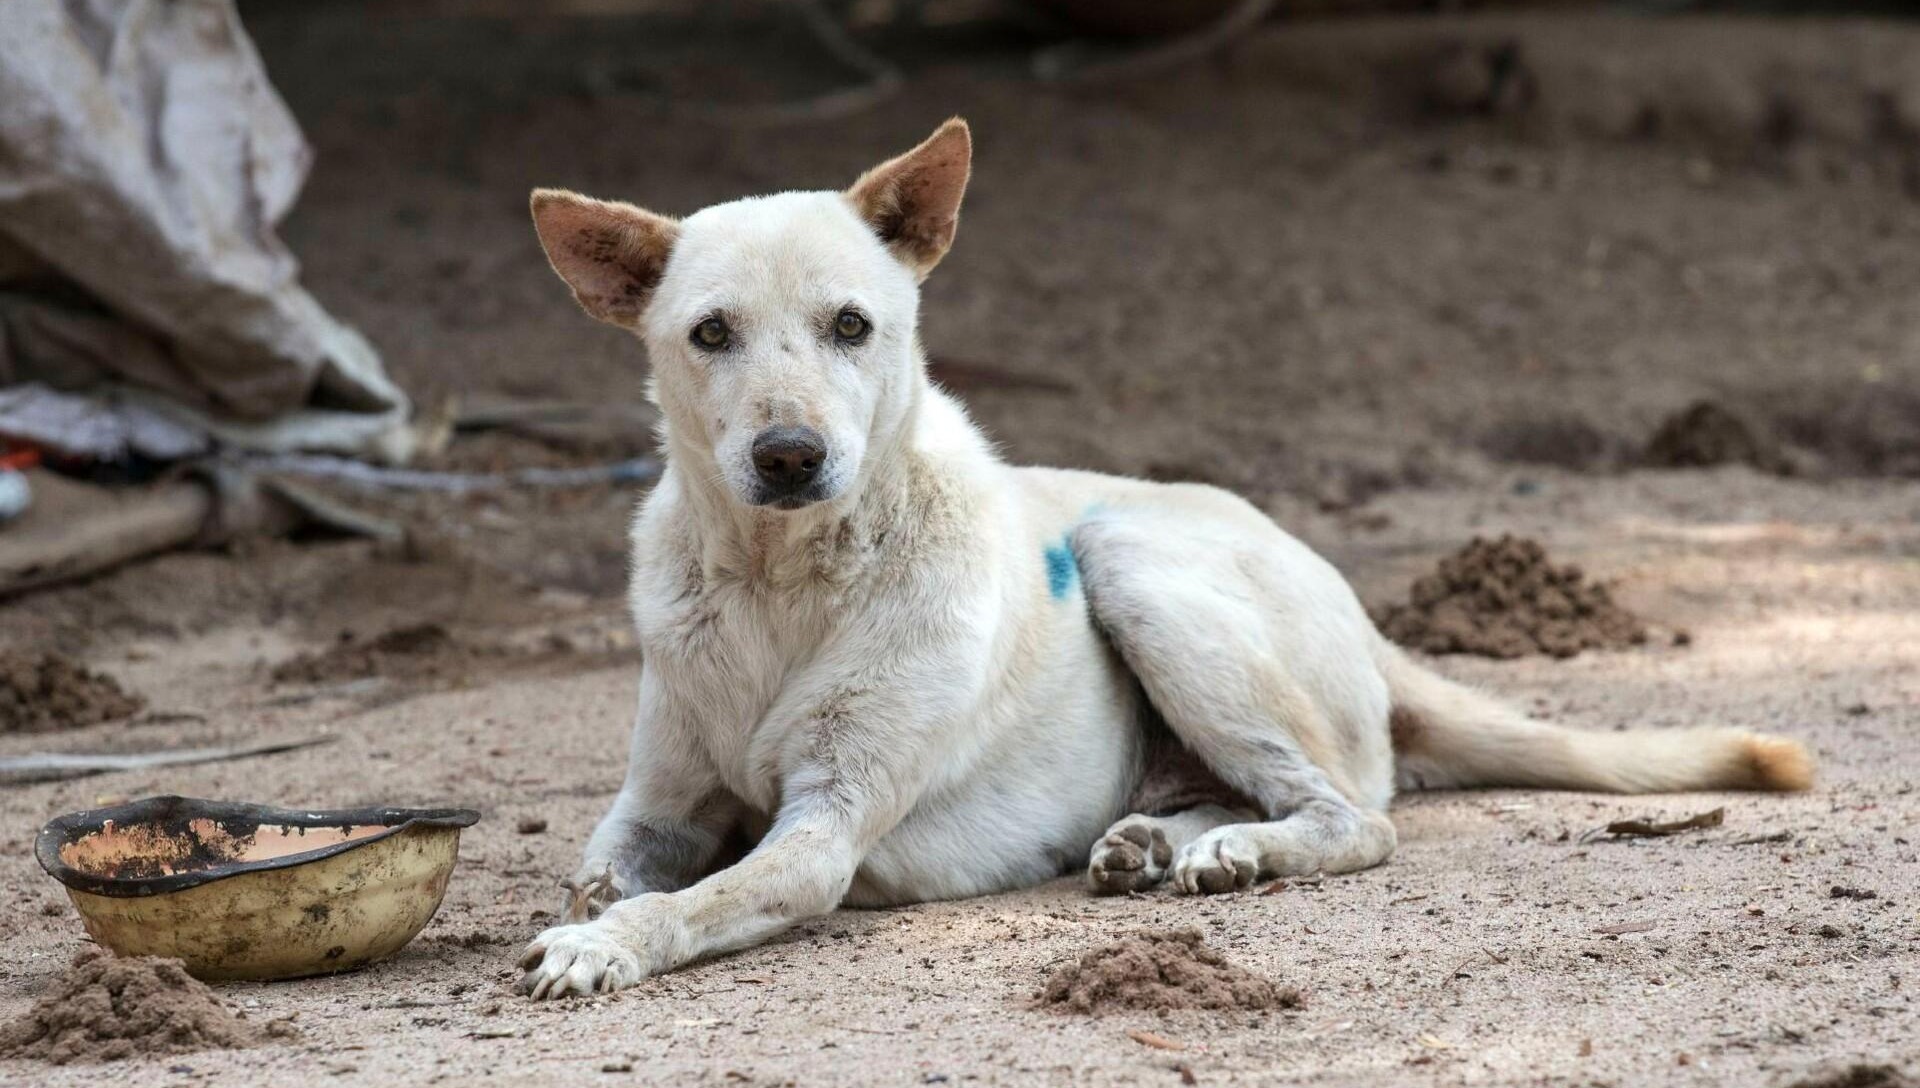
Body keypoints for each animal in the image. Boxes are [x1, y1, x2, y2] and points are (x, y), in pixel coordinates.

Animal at [514, 117, 1812, 997]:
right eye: (710, 333)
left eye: (850, 325)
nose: (790, 456)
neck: (780, 581)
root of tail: (1363, 615)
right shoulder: (656, 804)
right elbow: (615, 864)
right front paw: (593, 905)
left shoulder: (825, 829)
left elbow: (695, 899)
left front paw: (601, 943)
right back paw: (1163, 840)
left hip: (1131, 557)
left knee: (1355, 815)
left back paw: (1229, 848)